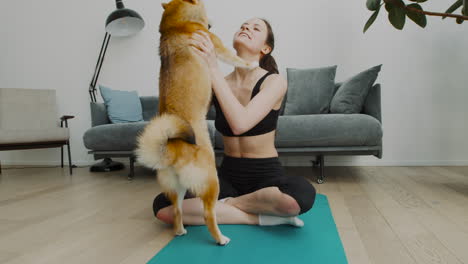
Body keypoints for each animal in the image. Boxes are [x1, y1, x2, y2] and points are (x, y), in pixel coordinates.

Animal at [135, 0, 258, 245]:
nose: (212, 21)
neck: (176, 26)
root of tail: (172, 148)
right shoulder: (214, 43)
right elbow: (236, 58)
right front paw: (251, 63)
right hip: (211, 181)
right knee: (208, 214)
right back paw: (221, 238)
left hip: (177, 188)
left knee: (177, 210)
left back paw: (180, 230)